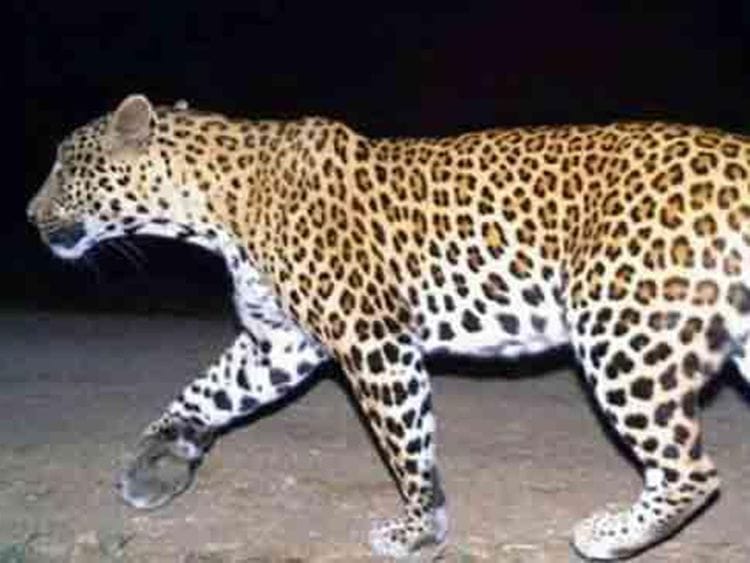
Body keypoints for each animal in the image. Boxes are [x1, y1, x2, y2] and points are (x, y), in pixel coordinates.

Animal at [27, 94, 750, 560]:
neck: (214, 207)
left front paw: (419, 532)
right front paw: (158, 459)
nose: (31, 214)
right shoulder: (280, 341)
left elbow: (407, 442)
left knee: (690, 468)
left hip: (619, 327)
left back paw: (613, 534)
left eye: (65, 167)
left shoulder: (370, 337)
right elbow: (207, 389)